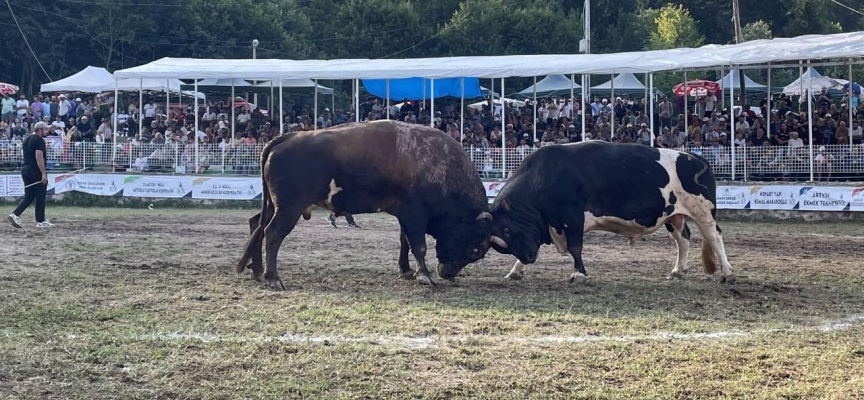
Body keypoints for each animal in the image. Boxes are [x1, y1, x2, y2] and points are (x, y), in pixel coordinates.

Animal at [236, 120, 500, 290]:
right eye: (476, 250)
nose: (448, 273)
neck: (439, 165)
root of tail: (286, 138)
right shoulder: (415, 213)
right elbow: (419, 245)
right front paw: (424, 275)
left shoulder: (404, 215)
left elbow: (404, 242)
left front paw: (406, 270)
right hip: (289, 208)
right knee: (272, 233)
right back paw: (273, 278)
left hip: (275, 206)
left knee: (257, 225)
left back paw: (257, 271)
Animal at [486, 141, 736, 284]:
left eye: (507, 229)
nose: (529, 258)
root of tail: (695, 158)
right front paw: (516, 270)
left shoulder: (572, 217)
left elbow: (576, 247)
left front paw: (579, 274)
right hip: (673, 215)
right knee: (683, 239)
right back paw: (678, 270)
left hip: (703, 211)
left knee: (714, 237)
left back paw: (728, 273)